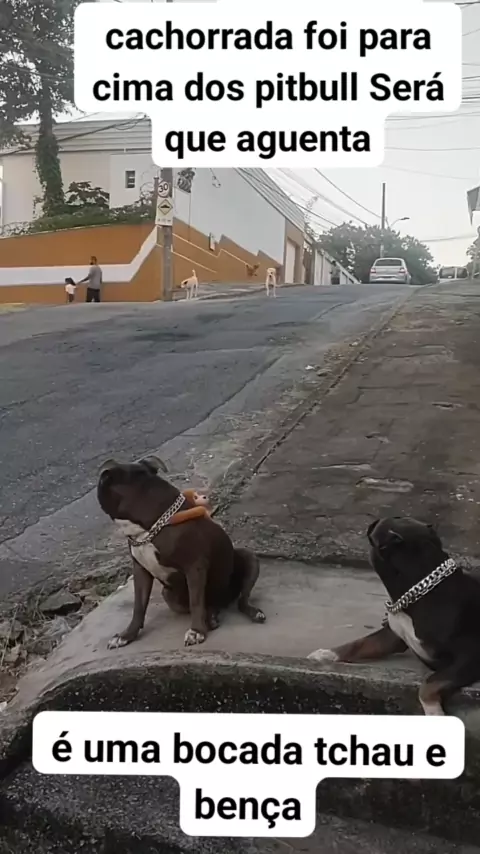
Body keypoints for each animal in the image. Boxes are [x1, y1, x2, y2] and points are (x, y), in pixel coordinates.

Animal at [97, 456, 266, 649]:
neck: (149, 527)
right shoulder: (141, 570)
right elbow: (139, 606)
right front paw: (127, 635)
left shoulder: (195, 566)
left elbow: (196, 601)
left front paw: (197, 631)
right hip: (169, 595)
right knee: (210, 604)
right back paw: (212, 616)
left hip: (249, 559)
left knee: (241, 600)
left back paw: (250, 612)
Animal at [308, 517, 480, 715]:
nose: (374, 521)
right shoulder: (392, 636)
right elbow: (359, 644)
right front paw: (326, 654)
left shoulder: (469, 656)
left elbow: (429, 684)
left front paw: (434, 712)